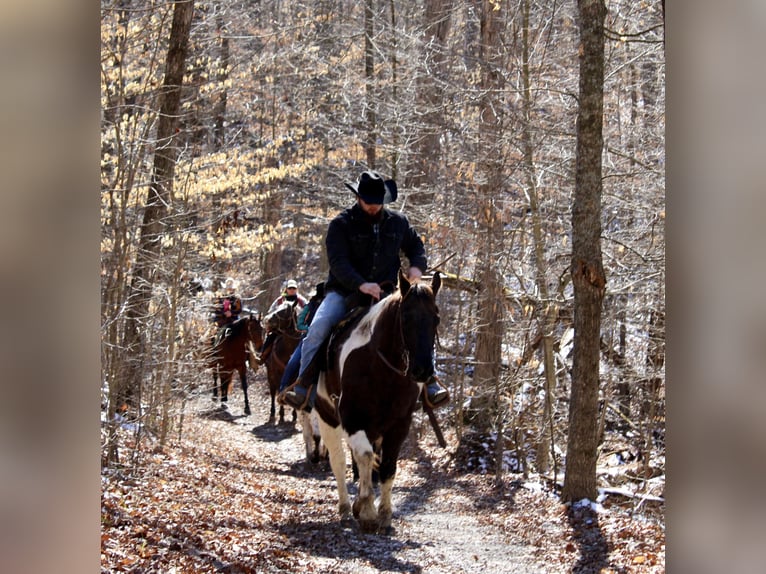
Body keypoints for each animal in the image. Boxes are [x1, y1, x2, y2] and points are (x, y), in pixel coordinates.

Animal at [316, 272, 440, 532]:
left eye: (436, 318)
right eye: (406, 317)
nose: (423, 371)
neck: (382, 368)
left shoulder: (399, 425)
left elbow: (388, 466)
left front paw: (384, 513)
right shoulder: (352, 420)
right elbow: (364, 456)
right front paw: (367, 511)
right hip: (327, 418)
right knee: (339, 462)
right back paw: (345, 507)